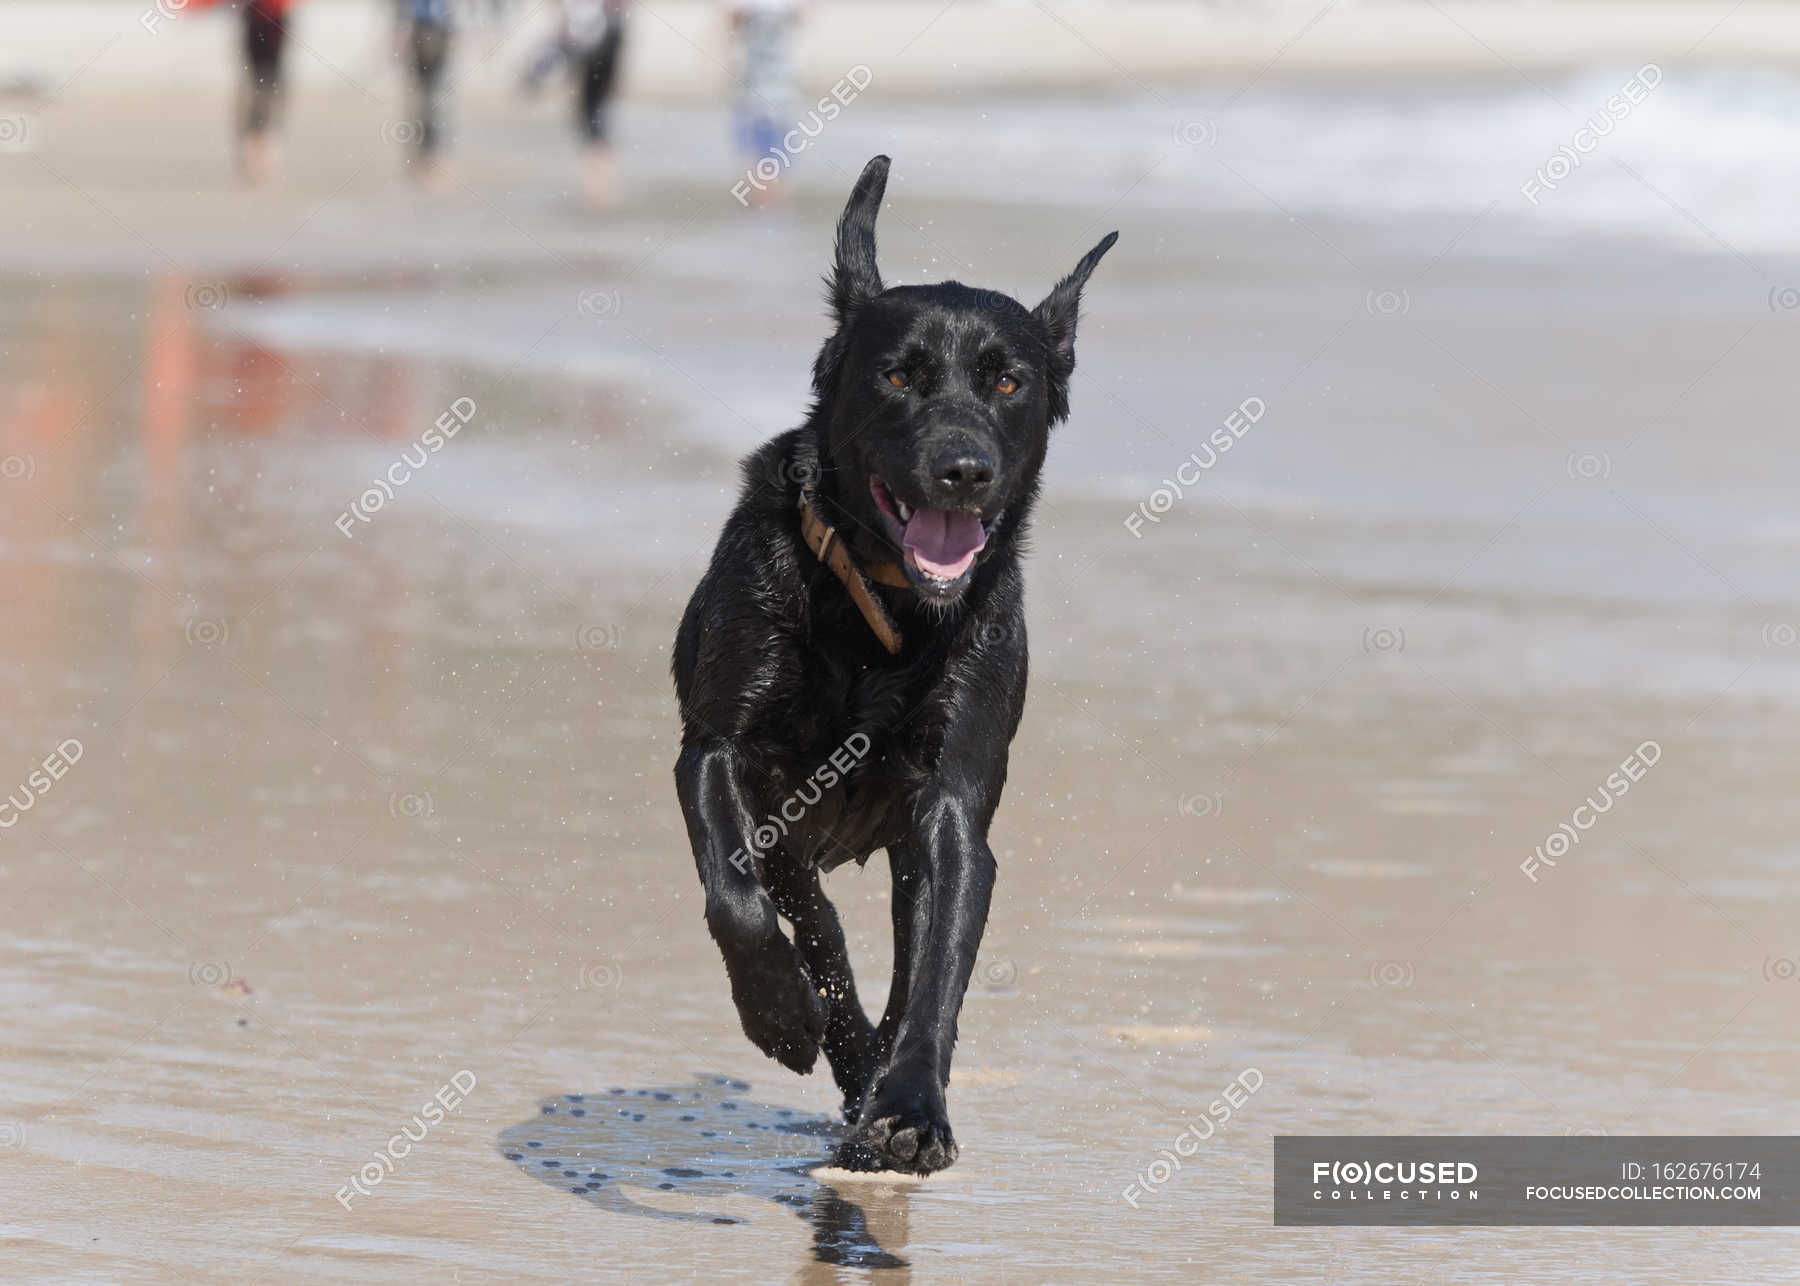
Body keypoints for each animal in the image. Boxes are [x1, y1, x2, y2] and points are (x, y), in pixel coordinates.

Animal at [676, 153, 1108, 1174]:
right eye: (901, 374)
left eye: (1008, 383)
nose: (964, 469)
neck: (884, 612)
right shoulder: (716, 749)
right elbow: (732, 891)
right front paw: (781, 1016)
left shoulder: (951, 802)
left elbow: (939, 968)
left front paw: (910, 1109)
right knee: (813, 925)